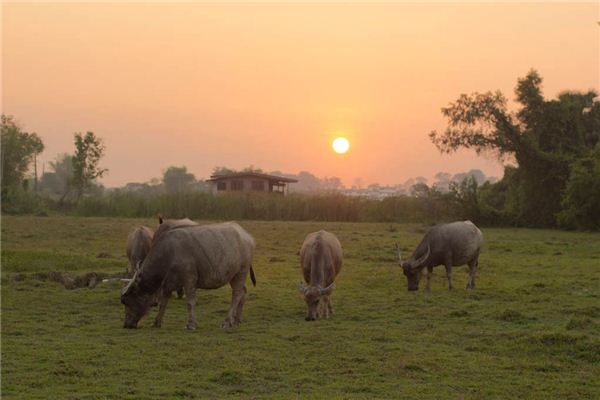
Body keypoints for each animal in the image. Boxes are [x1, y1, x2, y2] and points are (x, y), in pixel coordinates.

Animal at [120, 220, 254, 330]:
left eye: (127, 301)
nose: (126, 324)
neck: (169, 254)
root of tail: (247, 236)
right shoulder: (168, 283)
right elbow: (163, 302)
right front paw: (156, 322)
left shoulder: (189, 280)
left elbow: (190, 302)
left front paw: (191, 324)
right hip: (234, 275)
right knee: (243, 292)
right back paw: (236, 320)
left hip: (241, 272)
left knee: (236, 295)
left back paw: (227, 322)